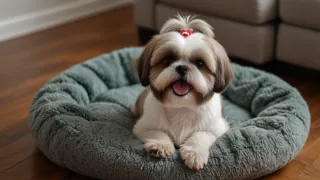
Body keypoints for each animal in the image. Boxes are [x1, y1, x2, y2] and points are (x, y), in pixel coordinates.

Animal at [131, 14, 234, 169]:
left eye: (200, 63)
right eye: (167, 60)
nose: (182, 67)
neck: (182, 106)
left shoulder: (216, 128)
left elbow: (201, 134)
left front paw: (195, 152)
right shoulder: (143, 126)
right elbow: (158, 133)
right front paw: (160, 146)